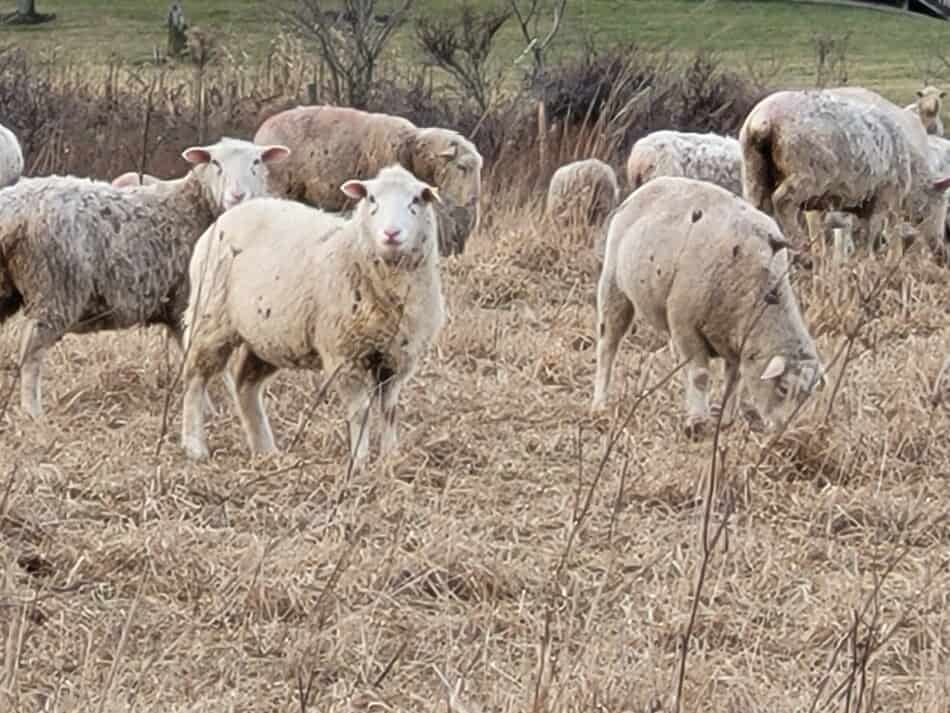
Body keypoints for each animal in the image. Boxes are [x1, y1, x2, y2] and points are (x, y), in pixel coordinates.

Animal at [0, 136, 292, 420]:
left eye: (256, 162)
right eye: (215, 163)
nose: (237, 196)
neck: (193, 207)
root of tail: (11, 210)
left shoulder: (179, 308)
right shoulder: (190, 301)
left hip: (10, 288)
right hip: (56, 288)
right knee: (30, 354)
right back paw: (33, 413)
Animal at [181, 164, 446, 464]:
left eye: (416, 200)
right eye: (371, 199)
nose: (391, 233)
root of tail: (232, 214)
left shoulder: (397, 357)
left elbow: (390, 410)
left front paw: (390, 458)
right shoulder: (344, 354)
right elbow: (360, 411)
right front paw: (359, 461)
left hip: (268, 336)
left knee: (245, 384)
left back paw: (266, 450)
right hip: (210, 317)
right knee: (195, 378)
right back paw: (194, 446)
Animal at [596, 177, 824, 434]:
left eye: (805, 396)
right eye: (783, 388)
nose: (782, 432)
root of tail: (653, 184)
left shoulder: (735, 341)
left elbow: (734, 380)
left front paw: (725, 421)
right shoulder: (685, 324)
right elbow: (700, 375)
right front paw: (697, 421)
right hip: (614, 286)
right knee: (608, 344)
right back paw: (599, 404)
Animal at [744, 88, 950, 256]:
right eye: (938, 205)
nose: (939, 248)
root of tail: (764, 120)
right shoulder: (885, 198)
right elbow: (876, 235)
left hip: (753, 173)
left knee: (758, 207)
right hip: (807, 175)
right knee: (782, 201)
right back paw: (800, 247)